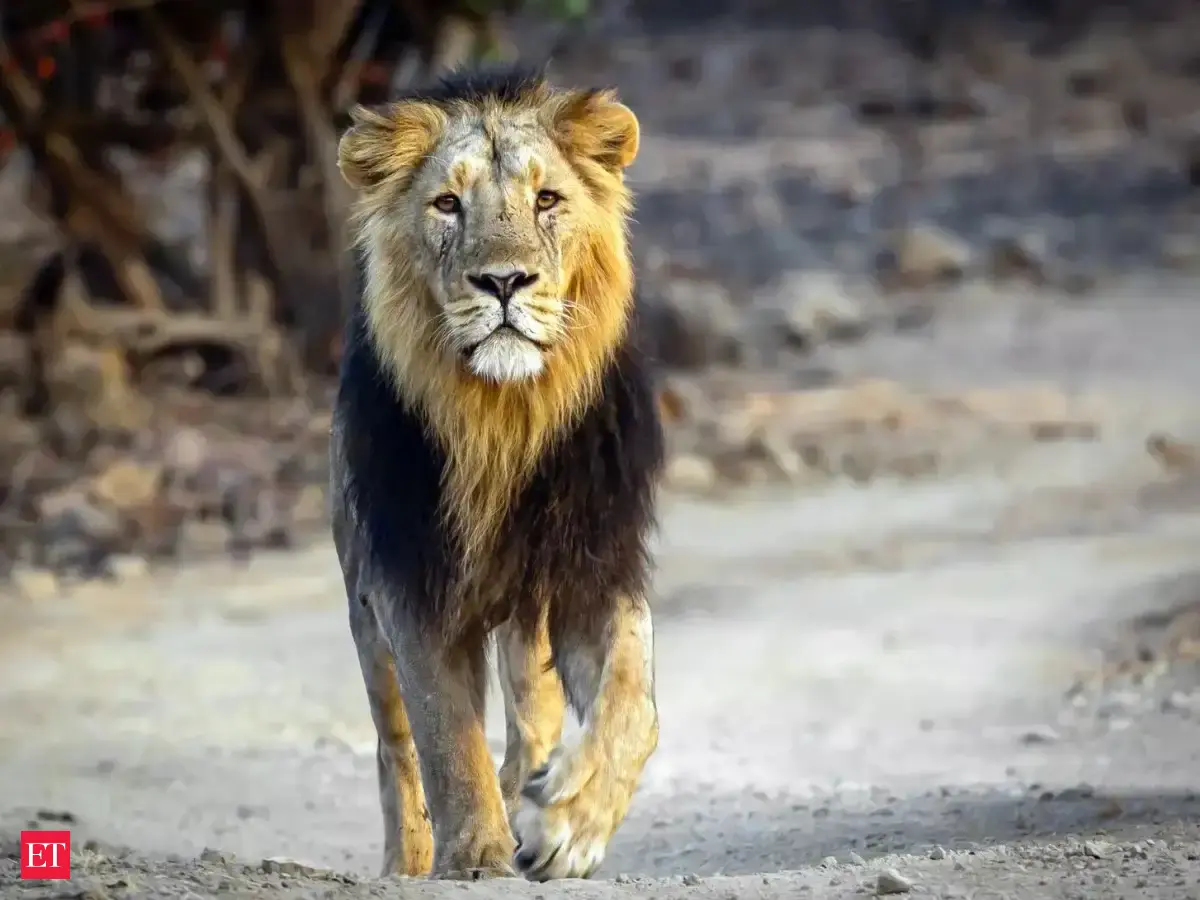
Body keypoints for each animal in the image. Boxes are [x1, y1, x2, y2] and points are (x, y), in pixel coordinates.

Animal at [329, 66, 664, 883]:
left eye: (547, 200)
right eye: (448, 204)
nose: (504, 281)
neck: (503, 419)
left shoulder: (593, 564)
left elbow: (632, 703)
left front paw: (569, 823)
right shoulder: (406, 580)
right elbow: (446, 737)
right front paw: (477, 856)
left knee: (533, 723)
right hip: (362, 606)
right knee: (394, 746)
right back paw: (410, 857)